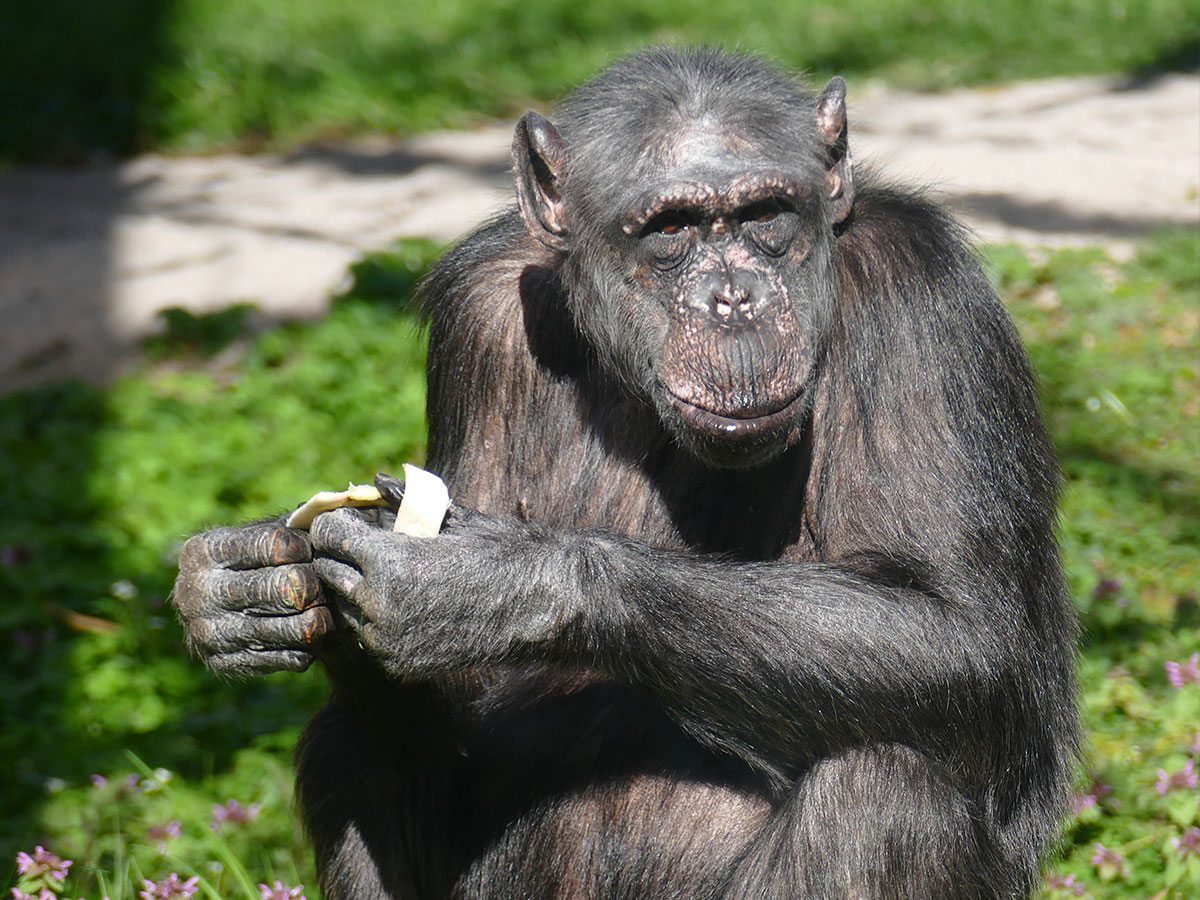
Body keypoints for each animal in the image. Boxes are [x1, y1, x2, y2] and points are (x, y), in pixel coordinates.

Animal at [174, 47, 1084, 900]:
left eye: (765, 216)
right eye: (670, 231)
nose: (735, 298)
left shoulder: (921, 299)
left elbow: (962, 630)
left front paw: (493, 585)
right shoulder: (479, 319)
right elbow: (463, 701)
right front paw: (240, 586)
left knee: (884, 793)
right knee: (351, 748)